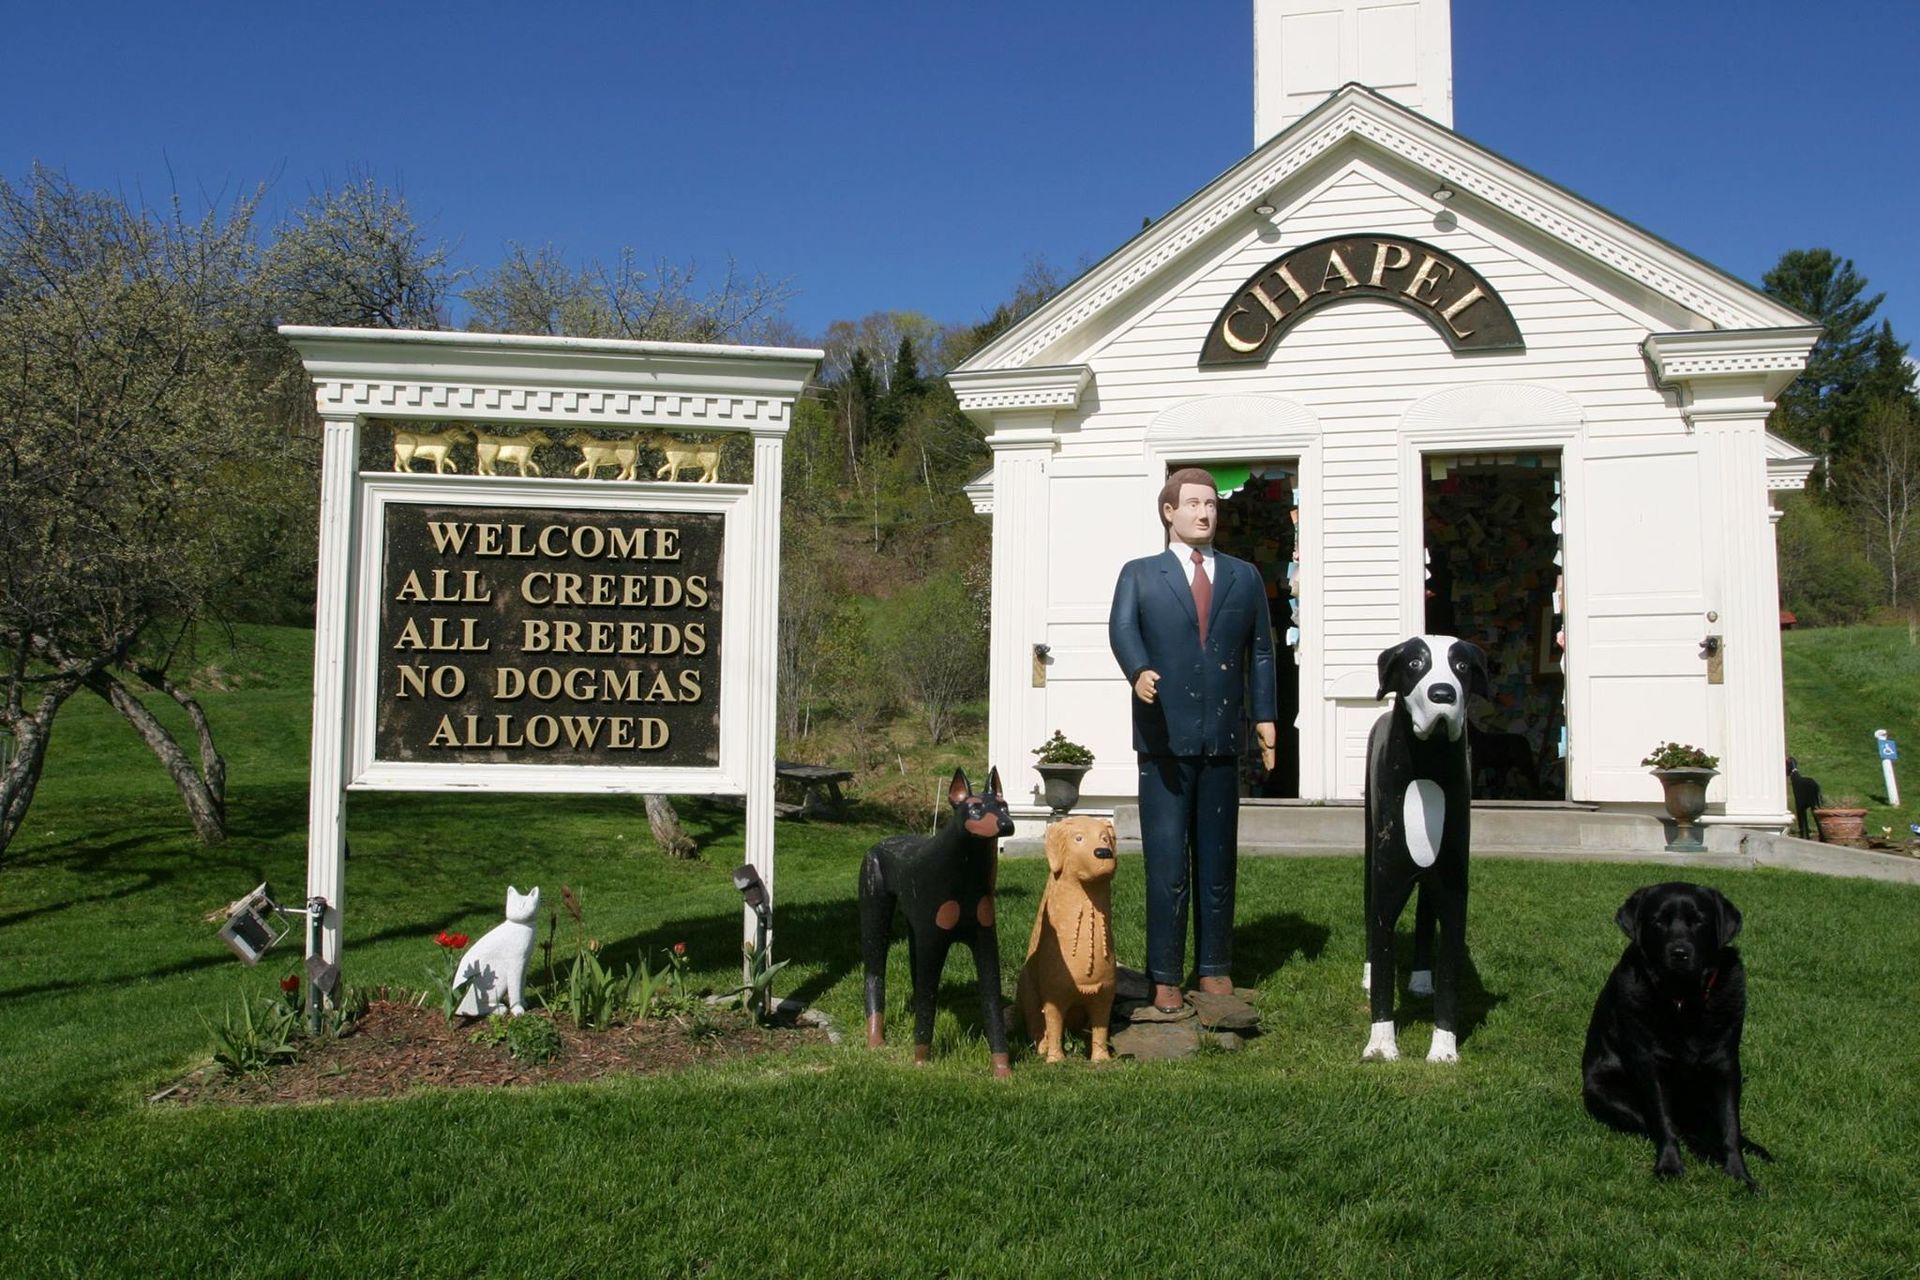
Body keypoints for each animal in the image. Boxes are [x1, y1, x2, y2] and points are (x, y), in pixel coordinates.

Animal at [1574, 882, 1766, 1189]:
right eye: (1659, 921)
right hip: (1602, 1089)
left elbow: (1730, 1126)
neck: (1682, 1001)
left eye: (1699, 920)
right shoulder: (1651, 1065)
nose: (1679, 952)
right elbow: (1664, 1122)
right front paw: (1670, 1166)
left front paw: (1740, 1175)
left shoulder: (1725, 1066)